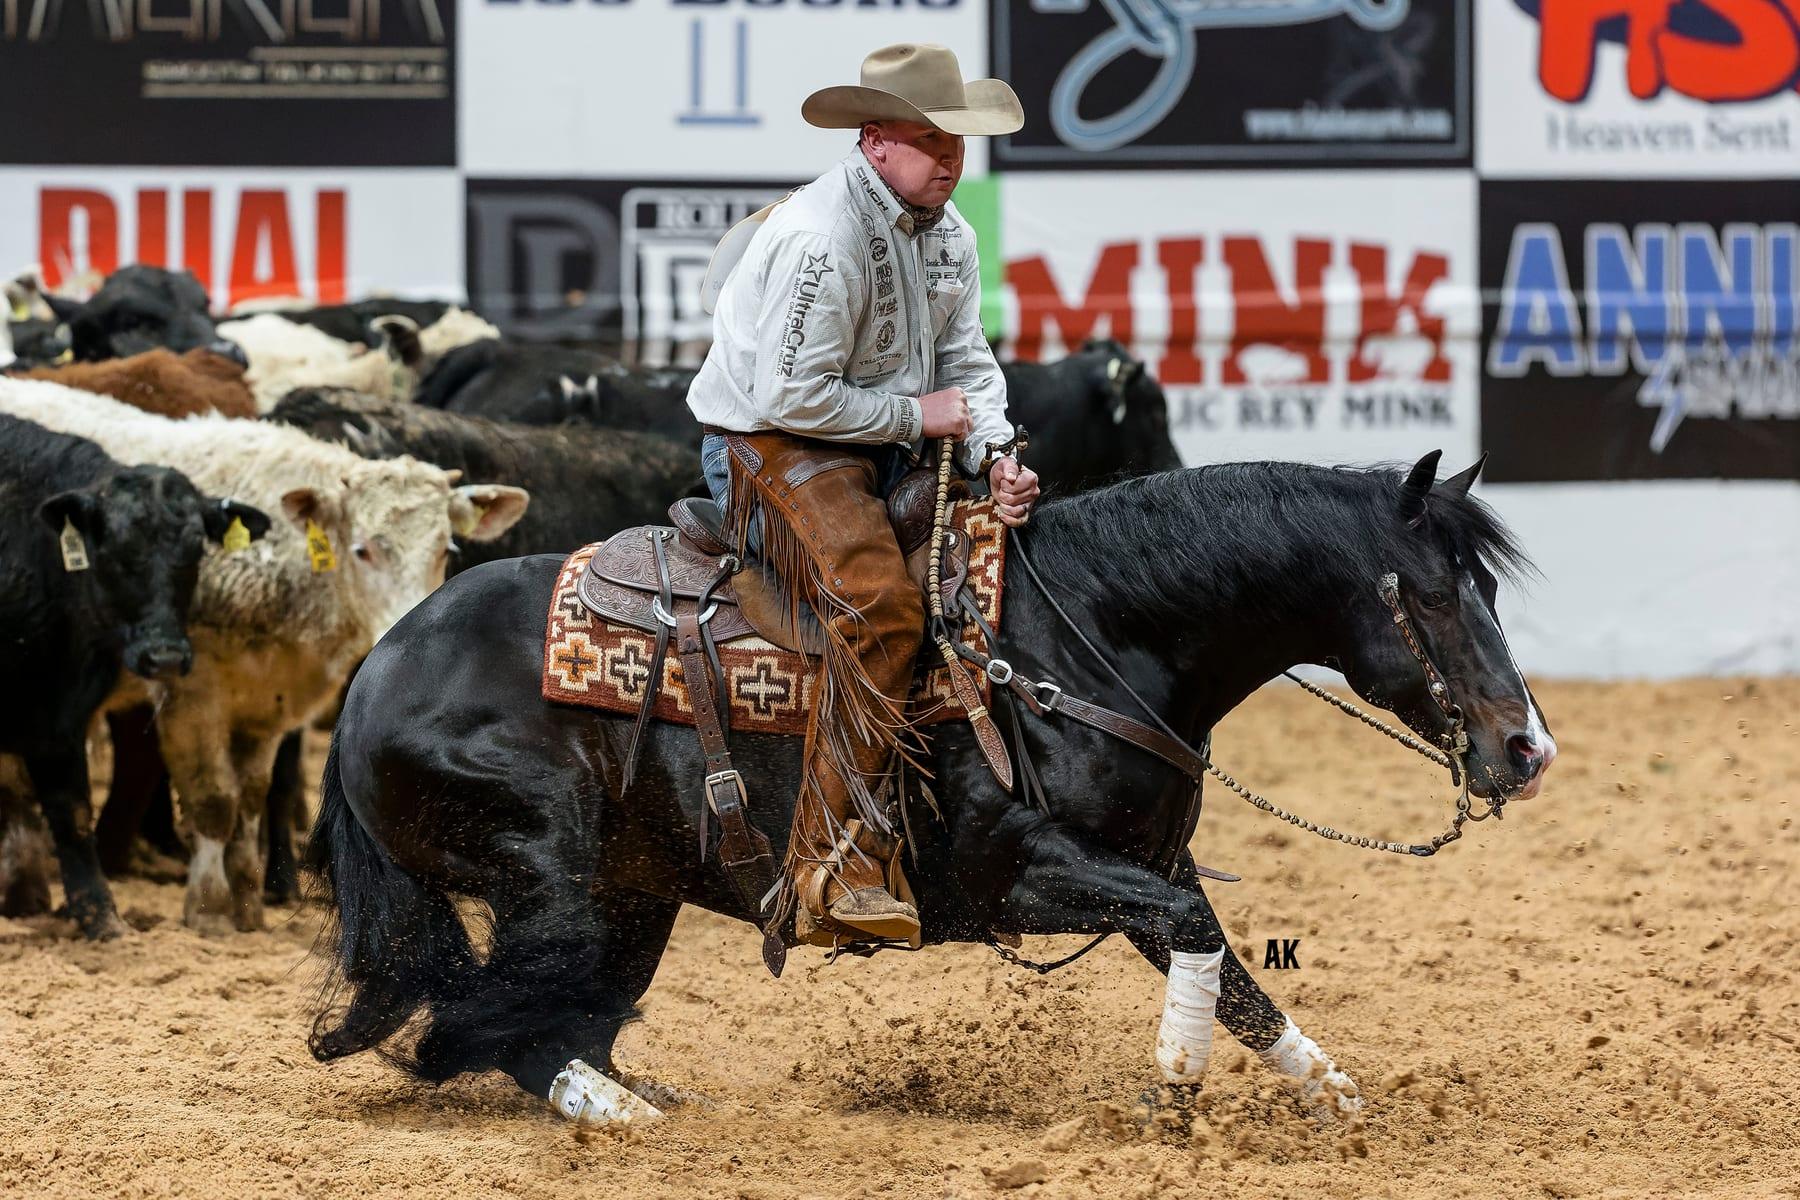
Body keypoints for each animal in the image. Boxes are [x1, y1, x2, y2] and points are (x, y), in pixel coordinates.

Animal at [305, 450, 1556, 1125]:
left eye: (1489, 585)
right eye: (1431, 594)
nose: (1526, 748)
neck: (1082, 635)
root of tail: (376, 668)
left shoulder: (1144, 868)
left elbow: (1232, 973)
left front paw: (1334, 1098)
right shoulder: (1020, 876)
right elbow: (1202, 941)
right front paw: (1172, 1096)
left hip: (636, 893)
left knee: (556, 1020)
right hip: (560, 881)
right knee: (483, 1028)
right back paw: (629, 1121)